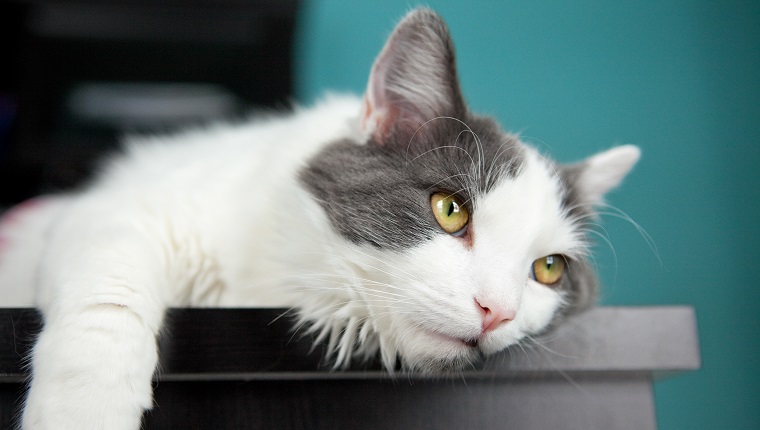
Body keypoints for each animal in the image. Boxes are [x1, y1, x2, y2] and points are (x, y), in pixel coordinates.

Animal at [0, 7, 640, 430]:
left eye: (549, 269)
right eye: (450, 210)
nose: (497, 312)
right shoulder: (117, 210)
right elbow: (108, 300)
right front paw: (84, 411)